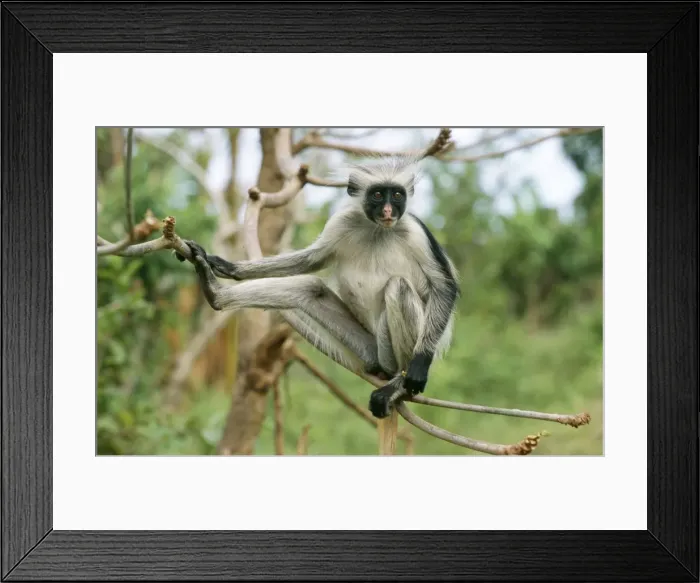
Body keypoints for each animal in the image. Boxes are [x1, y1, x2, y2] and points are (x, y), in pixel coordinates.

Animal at [176, 155, 459, 418]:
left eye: (398, 195)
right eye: (378, 194)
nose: (389, 211)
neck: (377, 229)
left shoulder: (416, 231)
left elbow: (444, 287)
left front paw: (418, 369)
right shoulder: (342, 222)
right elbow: (310, 260)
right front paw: (226, 266)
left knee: (398, 286)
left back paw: (399, 383)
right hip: (369, 347)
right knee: (309, 287)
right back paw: (215, 293)